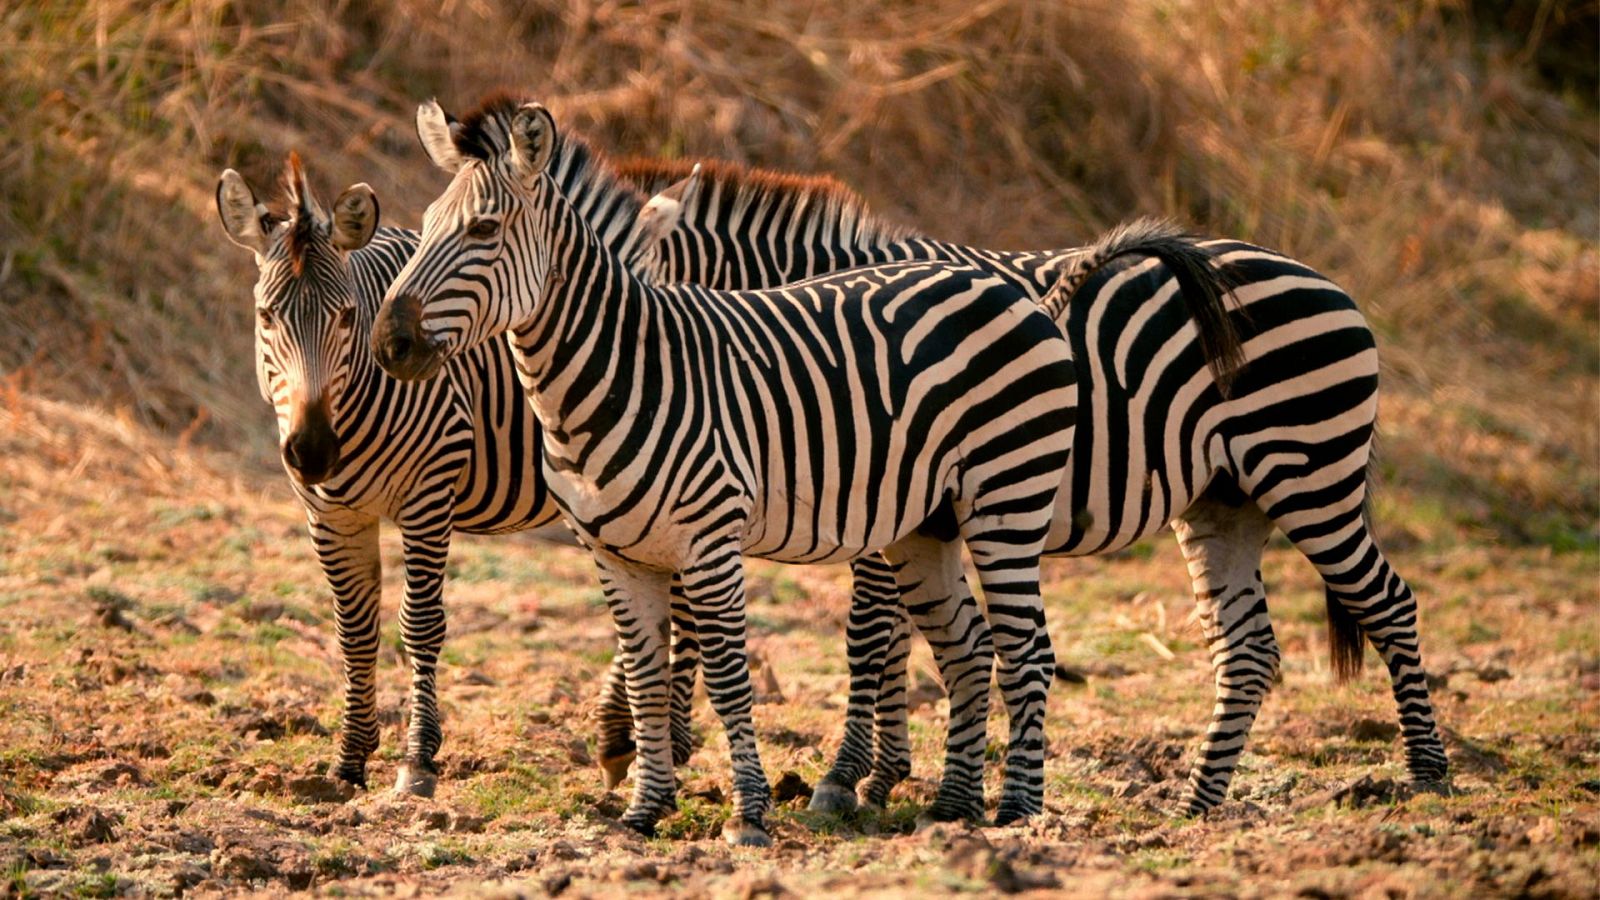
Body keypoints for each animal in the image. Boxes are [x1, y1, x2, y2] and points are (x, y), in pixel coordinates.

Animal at [213, 143, 712, 799]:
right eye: (266, 316)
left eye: (346, 317)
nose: (315, 450)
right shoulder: (329, 513)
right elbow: (354, 630)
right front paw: (348, 761)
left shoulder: (430, 494)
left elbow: (421, 624)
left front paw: (417, 761)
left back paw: (655, 744)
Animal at [370, 95, 1079, 844]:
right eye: (423, 228)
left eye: (484, 229)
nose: (391, 344)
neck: (617, 371)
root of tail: (1007, 288)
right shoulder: (614, 554)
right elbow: (648, 677)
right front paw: (644, 808)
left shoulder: (710, 543)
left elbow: (729, 678)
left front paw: (748, 814)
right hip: (926, 524)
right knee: (967, 649)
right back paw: (953, 809)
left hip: (1008, 496)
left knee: (1026, 652)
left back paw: (1018, 810)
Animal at [620, 159, 1451, 814]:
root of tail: (1331, 285)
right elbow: (882, 635)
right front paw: (881, 774)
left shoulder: (865, 490)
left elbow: (867, 636)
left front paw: (846, 776)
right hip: (1225, 497)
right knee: (1248, 647)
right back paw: (1196, 801)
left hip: (1312, 474)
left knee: (1388, 603)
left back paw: (1428, 778)